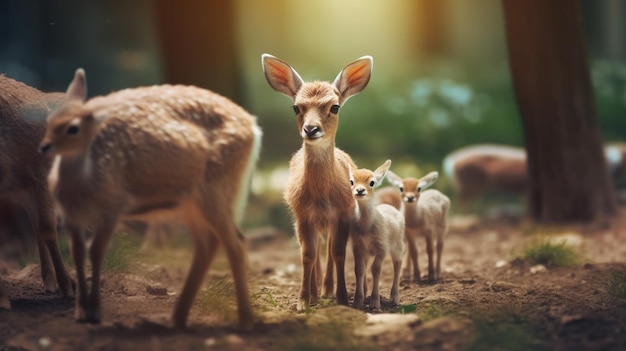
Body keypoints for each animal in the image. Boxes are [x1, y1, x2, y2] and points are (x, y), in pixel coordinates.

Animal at [38, 69, 260, 330]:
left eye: (73, 128)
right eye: (49, 121)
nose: (44, 146)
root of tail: (254, 128)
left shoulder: (112, 207)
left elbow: (96, 252)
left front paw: (96, 312)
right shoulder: (71, 216)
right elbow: (78, 253)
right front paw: (81, 312)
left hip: (217, 189)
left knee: (235, 242)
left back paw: (245, 319)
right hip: (190, 203)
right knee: (209, 242)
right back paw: (177, 318)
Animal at [262, 53, 372, 312]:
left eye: (335, 106)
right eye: (296, 107)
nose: (311, 129)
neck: (322, 196)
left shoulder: (342, 213)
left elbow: (338, 252)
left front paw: (341, 298)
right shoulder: (302, 214)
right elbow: (307, 255)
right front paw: (303, 302)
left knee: (329, 250)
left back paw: (327, 290)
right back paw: (316, 293)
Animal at [346, 160, 404, 310]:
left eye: (372, 182)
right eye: (351, 181)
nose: (360, 190)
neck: (367, 227)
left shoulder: (381, 247)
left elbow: (376, 270)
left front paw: (375, 302)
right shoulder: (357, 247)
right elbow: (359, 269)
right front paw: (358, 301)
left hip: (397, 245)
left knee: (398, 263)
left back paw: (395, 297)